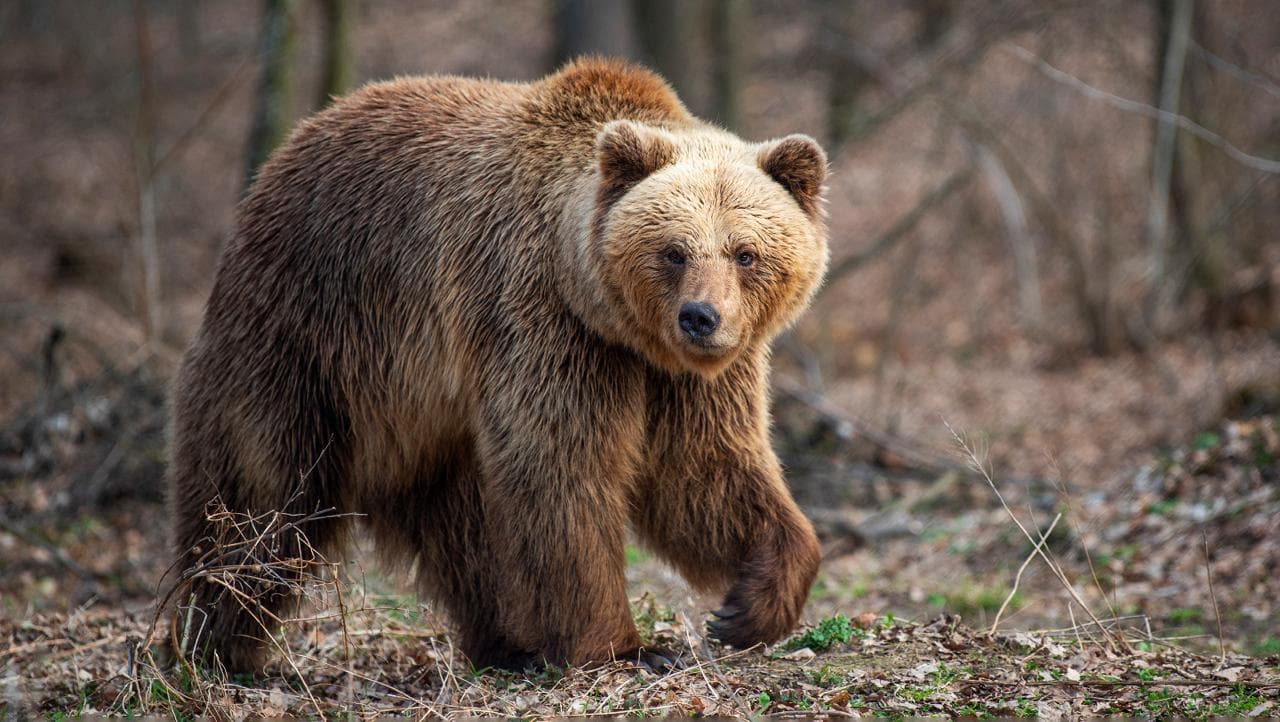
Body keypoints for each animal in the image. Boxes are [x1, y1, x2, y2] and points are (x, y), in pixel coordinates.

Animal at [167, 57, 828, 673]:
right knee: (261, 500)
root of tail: (279, 161)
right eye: (673, 251)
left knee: (465, 529)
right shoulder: (538, 318)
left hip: (424, 413)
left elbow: (704, 471)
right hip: (302, 340)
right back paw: (215, 646)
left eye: (745, 253)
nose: (700, 317)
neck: (606, 313)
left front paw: (747, 607)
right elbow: (561, 469)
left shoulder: (679, 376)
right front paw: (627, 647)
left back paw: (508, 644)